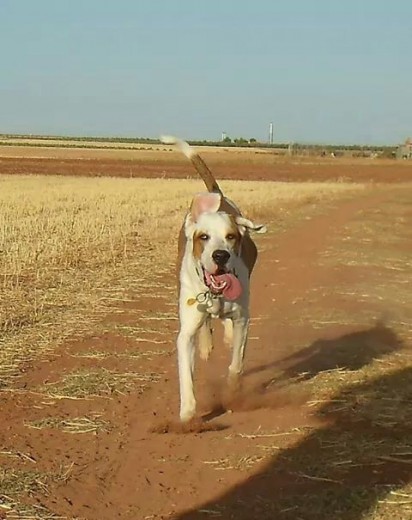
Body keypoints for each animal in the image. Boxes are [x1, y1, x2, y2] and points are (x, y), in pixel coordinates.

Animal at [159, 136, 266, 420]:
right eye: (203, 237)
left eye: (231, 237)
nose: (220, 256)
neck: (215, 294)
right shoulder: (185, 333)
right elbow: (187, 376)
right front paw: (187, 415)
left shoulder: (243, 321)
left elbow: (236, 364)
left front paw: (232, 392)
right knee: (206, 324)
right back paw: (207, 343)